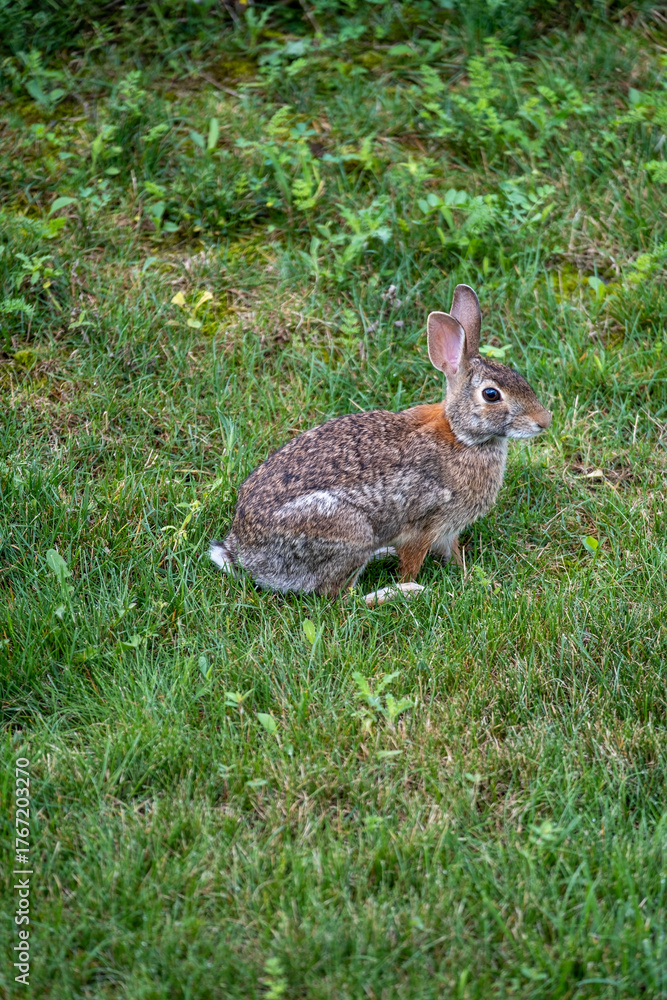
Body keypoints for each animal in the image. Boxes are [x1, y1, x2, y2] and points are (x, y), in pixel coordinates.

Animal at [210, 284, 551, 604]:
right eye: (491, 395)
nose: (544, 421)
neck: (460, 435)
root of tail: (245, 556)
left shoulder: (448, 530)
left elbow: (454, 554)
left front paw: (471, 577)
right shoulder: (424, 526)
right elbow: (411, 563)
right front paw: (415, 583)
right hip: (350, 532)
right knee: (340, 597)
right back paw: (402, 592)